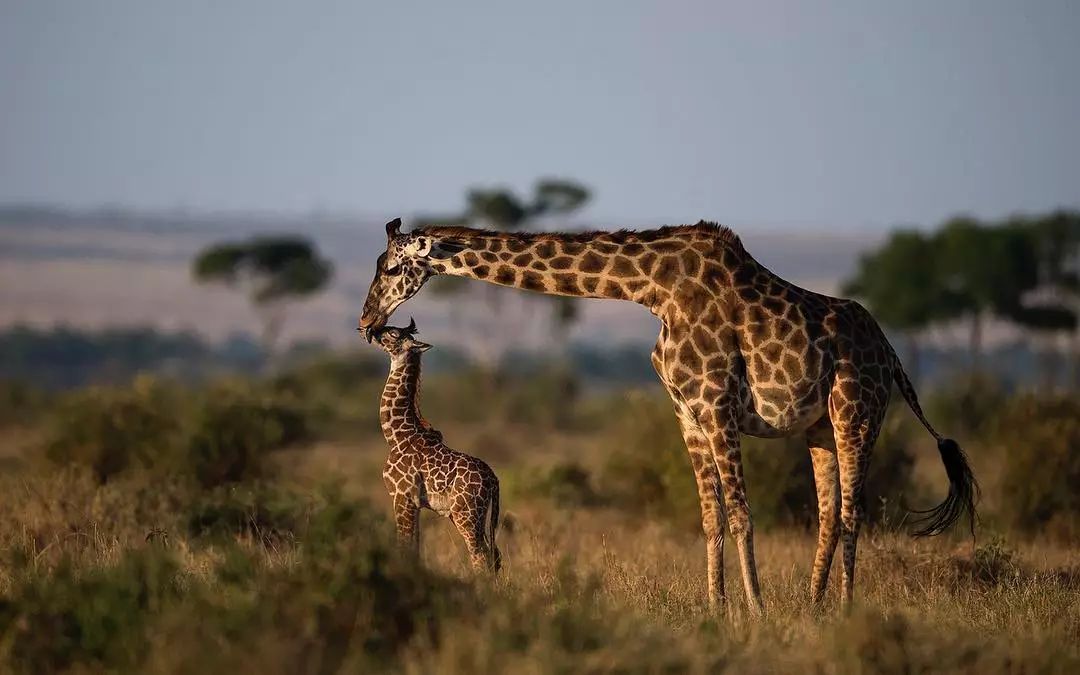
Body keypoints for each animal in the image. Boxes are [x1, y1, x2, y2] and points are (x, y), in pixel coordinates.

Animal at [367, 319, 501, 570]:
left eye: (393, 333)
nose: (373, 331)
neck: (397, 436)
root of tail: (493, 480)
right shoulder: (417, 503)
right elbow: (415, 546)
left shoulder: (402, 495)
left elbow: (405, 545)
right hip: (470, 514)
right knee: (494, 556)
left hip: (467, 514)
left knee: (480, 555)